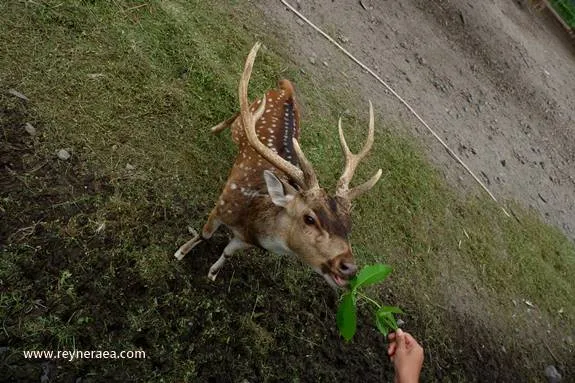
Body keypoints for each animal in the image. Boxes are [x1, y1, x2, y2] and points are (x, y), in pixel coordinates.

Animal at [176, 42, 382, 288]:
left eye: (348, 225)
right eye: (309, 219)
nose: (349, 266)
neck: (250, 221)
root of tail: (287, 89)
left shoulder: (246, 241)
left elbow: (227, 252)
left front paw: (213, 274)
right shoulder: (222, 205)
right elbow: (204, 235)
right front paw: (180, 253)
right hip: (248, 113)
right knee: (237, 115)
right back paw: (214, 129)